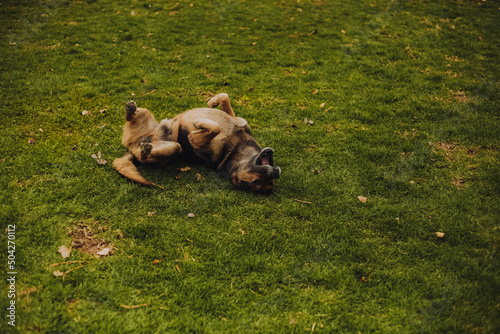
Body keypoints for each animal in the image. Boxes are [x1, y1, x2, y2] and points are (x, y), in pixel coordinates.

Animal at [113, 93, 282, 193]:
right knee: (134, 116)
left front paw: (200, 124)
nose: (276, 173)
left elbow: (214, 128)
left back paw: (146, 150)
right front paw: (212, 102)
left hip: (174, 149)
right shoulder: (235, 118)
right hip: (145, 115)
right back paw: (130, 111)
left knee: (161, 151)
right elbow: (225, 97)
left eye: (257, 181)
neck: (235, 148)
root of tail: (131, 150)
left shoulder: (194, 141)